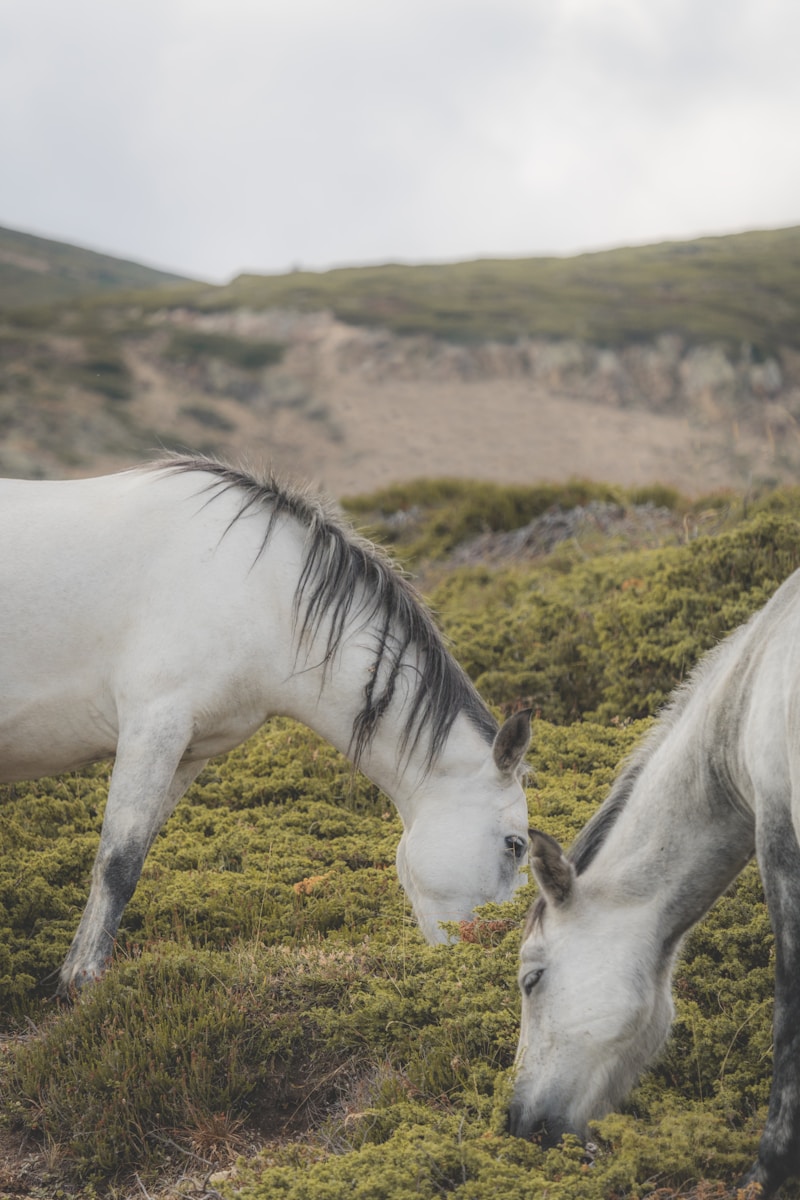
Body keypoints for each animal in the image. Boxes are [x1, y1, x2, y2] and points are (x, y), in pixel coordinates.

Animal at [0, 454, 532, 994]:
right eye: (516, 845)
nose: (498, 953)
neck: (261, 594)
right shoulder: (152, 728)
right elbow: (117, 863)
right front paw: (81, 981)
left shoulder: (188, 751)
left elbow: (135, 853)